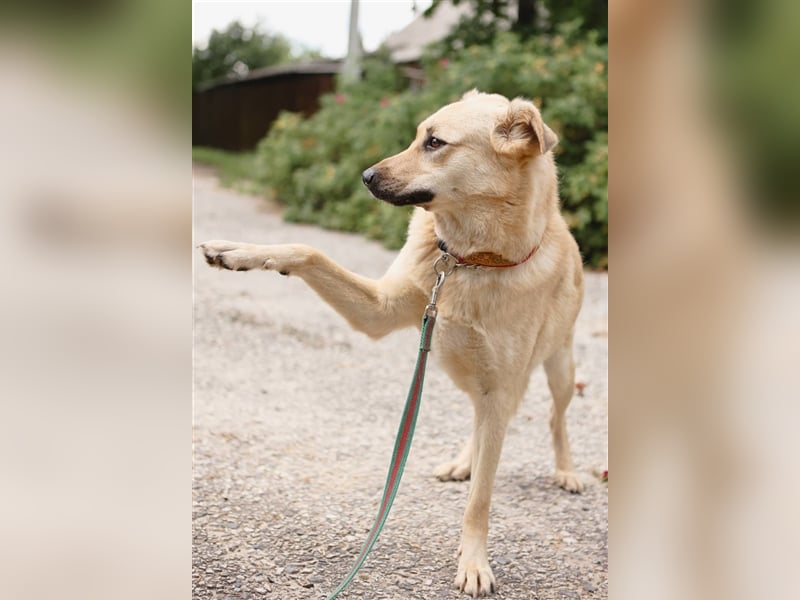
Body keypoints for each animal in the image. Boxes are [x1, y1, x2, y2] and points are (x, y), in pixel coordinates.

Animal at [200, 88, 584, 596]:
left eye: (435, 143)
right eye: (418, 135)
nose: (365, 177)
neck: (469, 261)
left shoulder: (501, 387)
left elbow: (481, 499)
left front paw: (474, 561)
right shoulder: (379, 311)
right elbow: (308, 251)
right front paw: (236, 252)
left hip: (557, 370)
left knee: (552, 419)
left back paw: (566, 471)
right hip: (464, 371)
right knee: (480, 426)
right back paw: (463, 461)